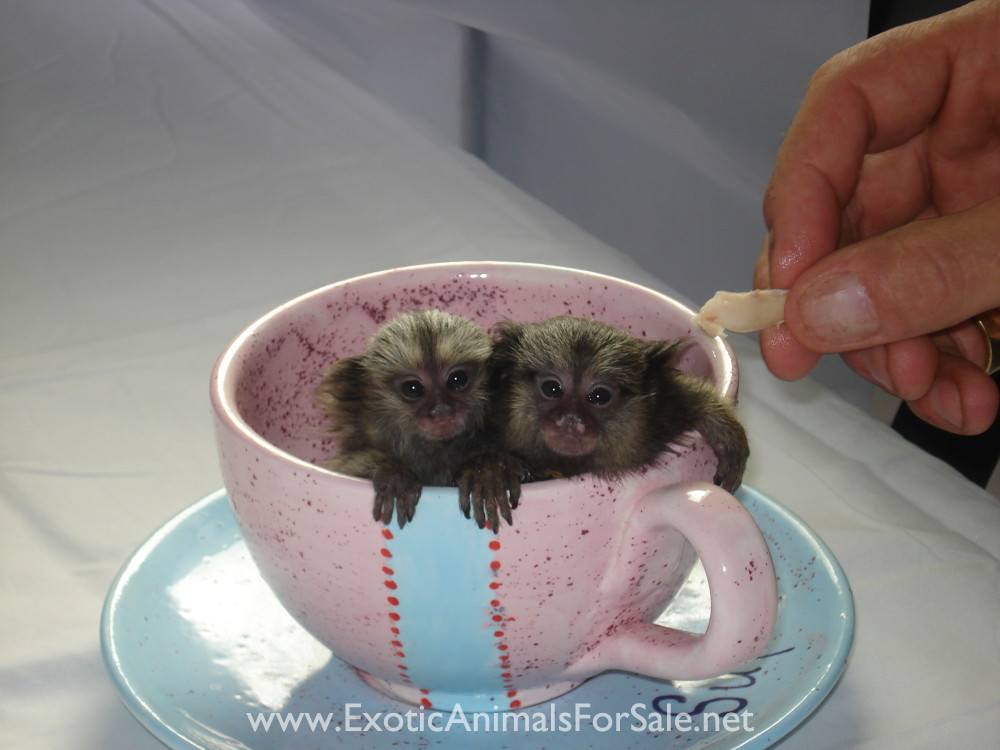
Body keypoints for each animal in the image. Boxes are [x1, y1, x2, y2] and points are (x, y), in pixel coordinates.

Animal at [490, 316, 749, 491]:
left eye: (599, 396)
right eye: (552, 389)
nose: (571, 419)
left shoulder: (664, 411)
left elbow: (698, 400)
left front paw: (726, 435)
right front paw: (502, 468)